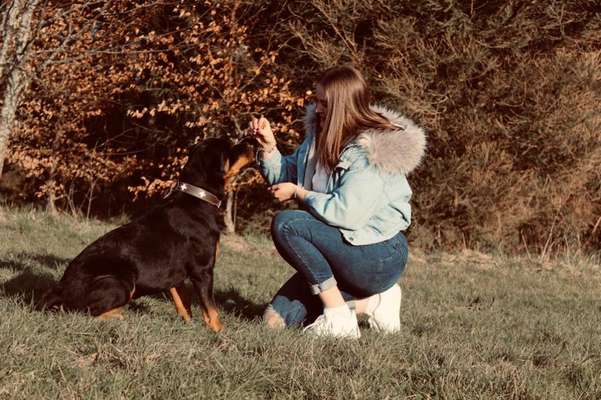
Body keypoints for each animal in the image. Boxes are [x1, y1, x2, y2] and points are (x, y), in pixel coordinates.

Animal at [41, 138, 253, 332]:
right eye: (231, 146)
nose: (251, 143)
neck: (198, 199)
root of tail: (59, 290)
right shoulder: (203, 270)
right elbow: (211, 308)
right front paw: (221, 333)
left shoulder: (176, 275)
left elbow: (183, 304)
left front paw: (189, 326)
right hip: (119, 281)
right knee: (85, 312)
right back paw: (119, 316)